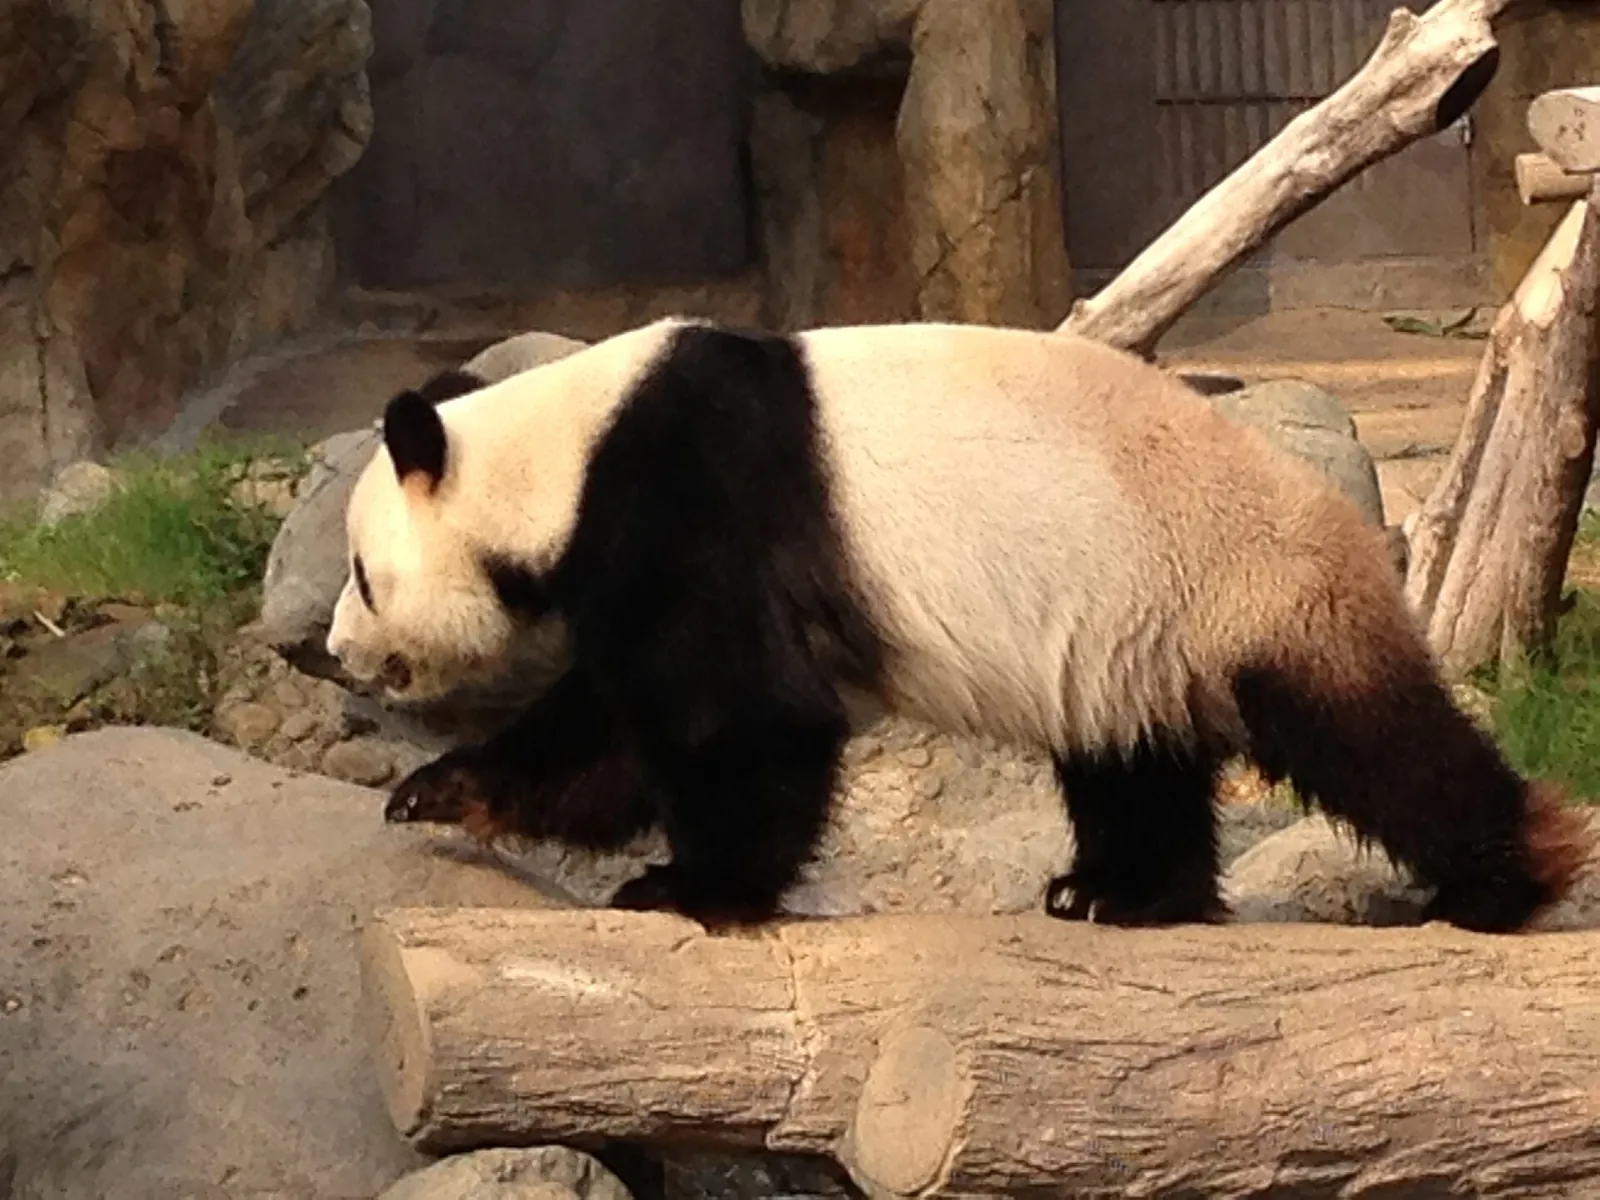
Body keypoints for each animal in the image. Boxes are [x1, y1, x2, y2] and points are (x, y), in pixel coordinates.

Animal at [325, 315, 1593, 934]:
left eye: (361, 573)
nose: (338, 653)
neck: (560, 446)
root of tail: (1356, 526)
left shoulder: (699, 498)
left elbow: (736, 718)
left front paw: (690, 890)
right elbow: (610, 731)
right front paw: (438, 791)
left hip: (1244, 588)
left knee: (1372, 741)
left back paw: (1505, 879)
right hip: (1133, 632)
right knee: (1133, 761)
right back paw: (1121, 895)